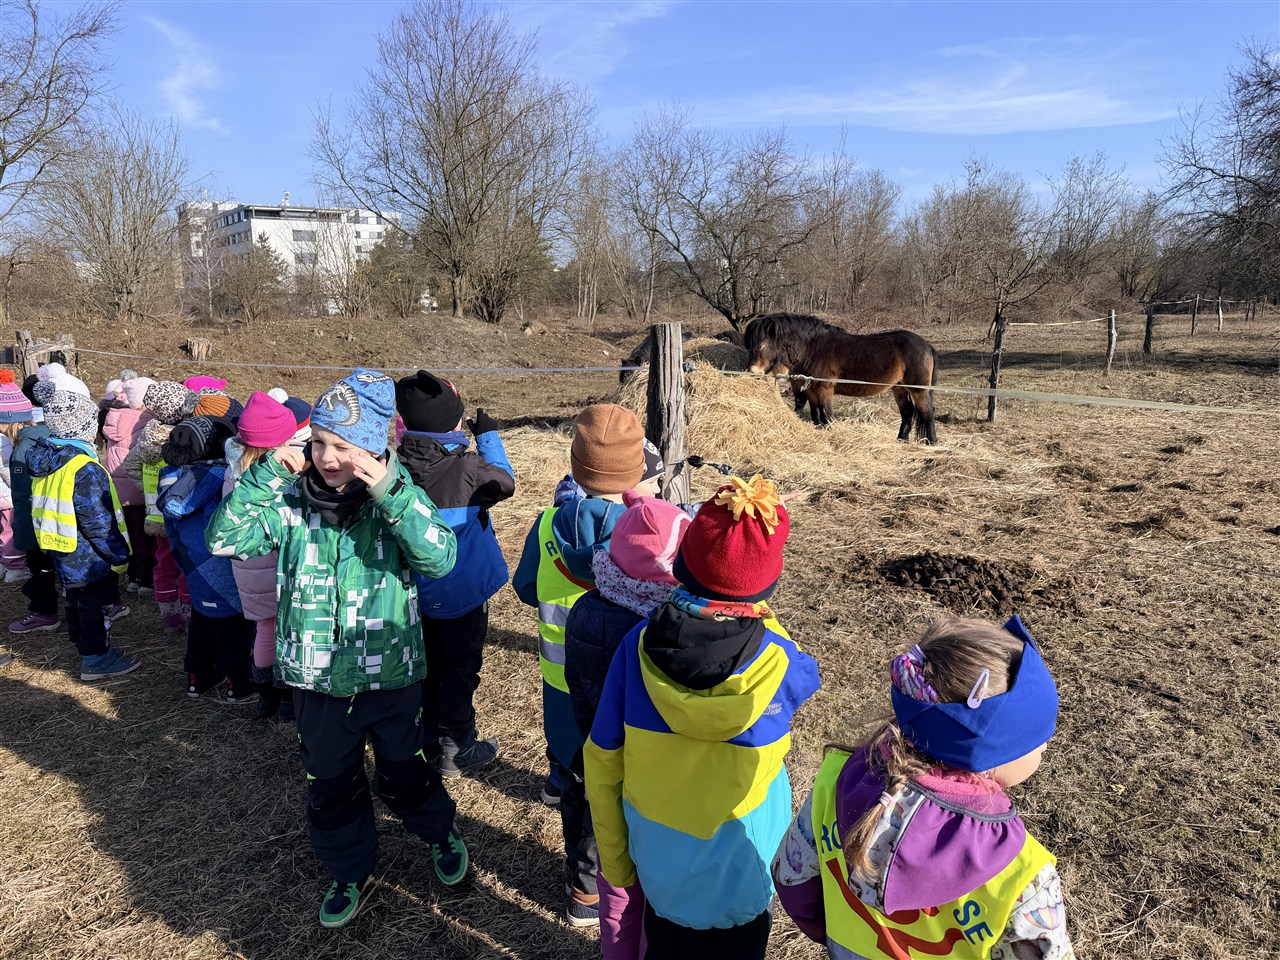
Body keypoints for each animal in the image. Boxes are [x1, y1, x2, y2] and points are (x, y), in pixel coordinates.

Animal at [796, 329, 939, 443]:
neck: (814, 347)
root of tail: (927, 345)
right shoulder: (810, 391)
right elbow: (816, 414)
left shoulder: (824, 390)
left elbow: (826, 415)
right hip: (900, 389)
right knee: (907, 412)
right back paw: (902, 440)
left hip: (918, 390)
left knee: (927, 412)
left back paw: (932, 443)